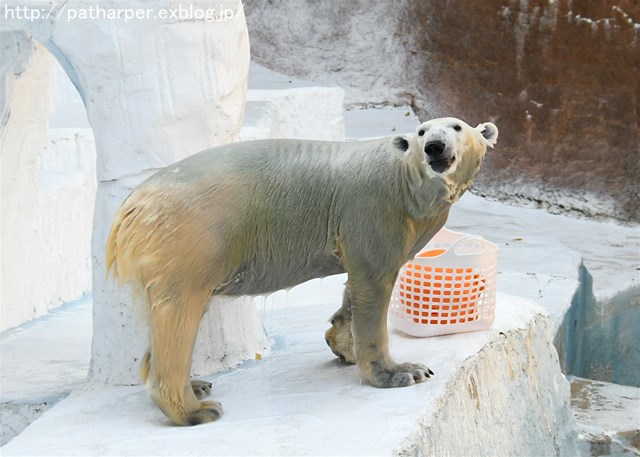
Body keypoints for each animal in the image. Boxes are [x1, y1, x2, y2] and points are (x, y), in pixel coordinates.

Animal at [105, 116, 498, 424]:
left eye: (456, 127)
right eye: (421, 131)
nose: (435, 147)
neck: (407, 183)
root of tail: (130, 208)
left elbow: (355, 287)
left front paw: (343, 344)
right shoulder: (374, 209)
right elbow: (373, 280)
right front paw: (401, 372)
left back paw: (196, 385)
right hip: (191, 235)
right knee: (181, 311)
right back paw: (195, 408)